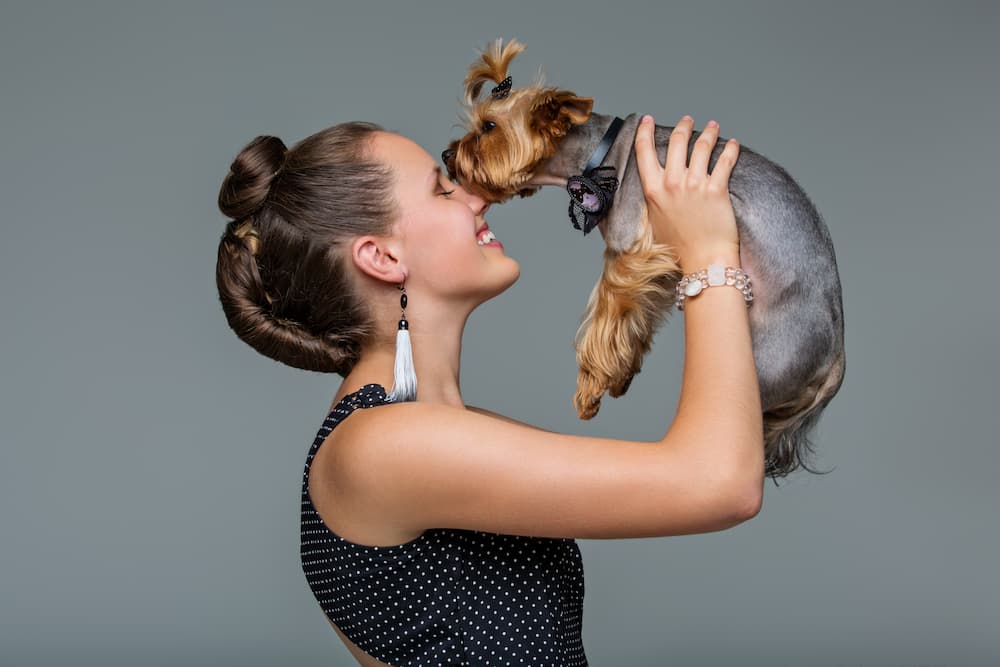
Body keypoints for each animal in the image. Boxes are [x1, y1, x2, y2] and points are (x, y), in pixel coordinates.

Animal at [446, 39, 844, 480]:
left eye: (488, 127)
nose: (447, 156)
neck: (597, 153)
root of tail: (836, 362)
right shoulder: (656, 264)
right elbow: (638, 316)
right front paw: (619, 376)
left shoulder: (628, 251)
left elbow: (606, 316)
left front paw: (591, 388)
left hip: (763, 364)